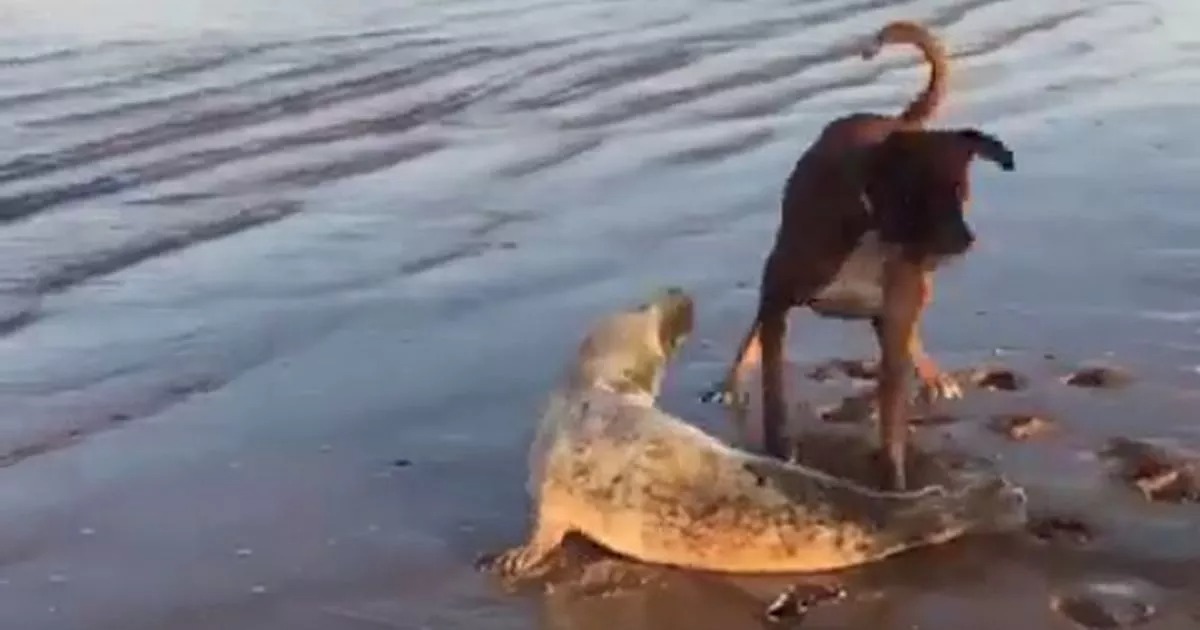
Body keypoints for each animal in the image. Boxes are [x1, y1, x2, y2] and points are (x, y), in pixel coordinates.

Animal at [700, 20, 1017, 492]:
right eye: (918, 196)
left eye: (962, 192)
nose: (965, 241)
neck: (871, 228)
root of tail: (891, 122)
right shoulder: (777, 294)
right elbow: (774, 392)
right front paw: (780, 451)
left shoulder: (898, 315)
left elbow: (892, 417)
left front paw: (894, 481)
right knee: (755, 334)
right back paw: (733, 381)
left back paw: (931, 376)